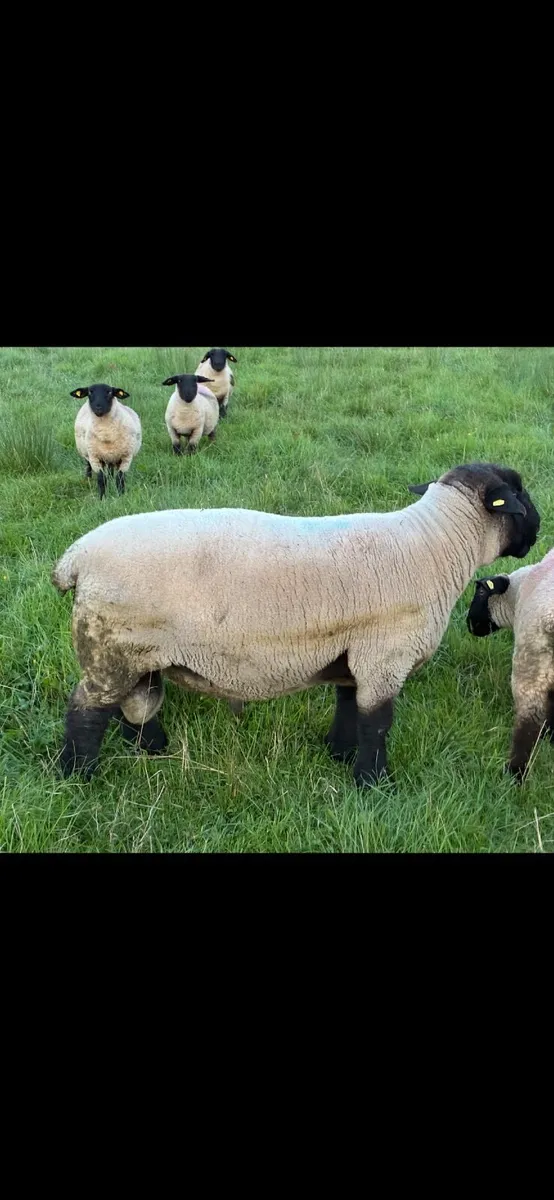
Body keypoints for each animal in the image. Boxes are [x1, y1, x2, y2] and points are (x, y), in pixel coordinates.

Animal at [52, 462, 539, 787]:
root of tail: (75, 558)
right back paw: (79, 777)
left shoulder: (355, 655)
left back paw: (152, 750)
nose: (537, 530)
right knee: (85, 710)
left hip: (135, 651)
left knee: (135, 702)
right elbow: (377, 723)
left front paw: (339, 755)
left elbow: (349, 707)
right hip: (108, 647)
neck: (436, 546)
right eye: (521, 496)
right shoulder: (385, 657)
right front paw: (373, 784)